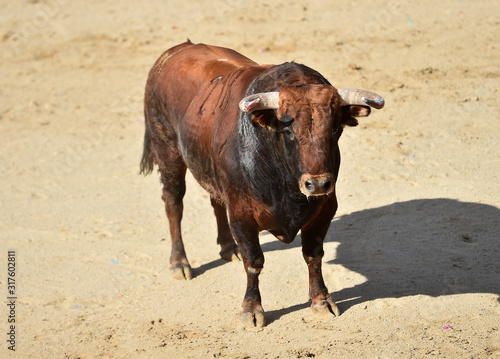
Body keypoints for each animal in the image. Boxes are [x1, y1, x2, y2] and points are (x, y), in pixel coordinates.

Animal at [142, 40, 386, 330]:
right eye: (289, 131)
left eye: (336, 129)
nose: (317, 184)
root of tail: (178, 49)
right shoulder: (242, 215)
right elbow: (254, 261)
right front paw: (252, 309)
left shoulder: (325, 209)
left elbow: (313, 255)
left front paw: (321, 300)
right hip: (167, 152)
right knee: (173, 203)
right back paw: (180, 263)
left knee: (215, 201)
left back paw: (228, 248)